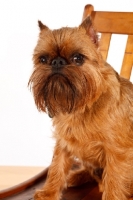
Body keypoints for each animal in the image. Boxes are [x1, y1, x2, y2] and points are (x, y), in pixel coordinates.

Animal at [28, 14, 133, 199]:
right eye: (43, 59)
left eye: (78, 58)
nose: (57, 61)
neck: (82, 106)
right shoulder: (63, 142)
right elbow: (57, 166)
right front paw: (49, 193)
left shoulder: (117, 152)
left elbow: (114, 180)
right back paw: (75, 176)